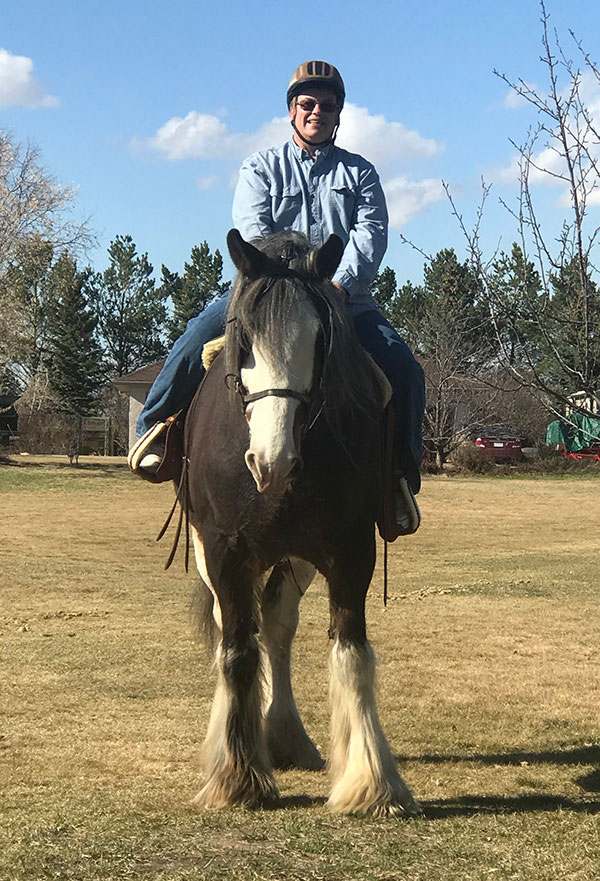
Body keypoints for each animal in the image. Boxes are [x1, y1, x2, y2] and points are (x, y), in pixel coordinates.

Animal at [185, 227, 420, 820]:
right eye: (243, 336)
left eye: (321, 341)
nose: (272, 463)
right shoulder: (223, 549)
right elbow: (237, 652)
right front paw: (237, 779)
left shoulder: (351, 550)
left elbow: (352, 654)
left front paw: (372, 784)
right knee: (235, 630)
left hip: (294, 558)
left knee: (277, 625)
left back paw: (285, 736)